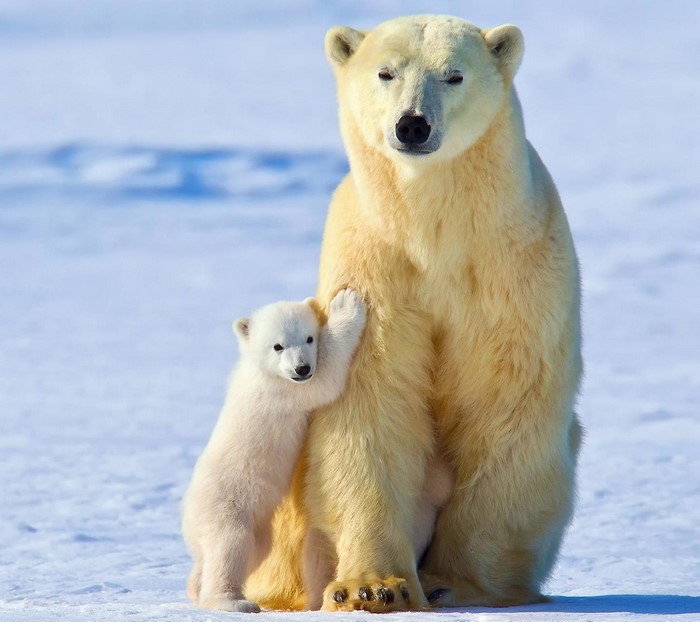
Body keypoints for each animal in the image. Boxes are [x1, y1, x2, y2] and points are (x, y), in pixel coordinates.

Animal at [181, 288, 367, 612]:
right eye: (278, 346)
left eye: (308, 338)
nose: (301, 368)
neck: (260, 371)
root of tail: (187, 518)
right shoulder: (283, 391)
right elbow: (325, 379)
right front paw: (345, 305)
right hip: (226, 505)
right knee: (229, 546)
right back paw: (234, 601)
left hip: (256, 527)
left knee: (246, 552)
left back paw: (196, 587)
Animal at [244, 14, 583, 612]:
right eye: (386, 72)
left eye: (454, 74)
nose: (413, 126)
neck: (435, 232)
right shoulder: (375, 266)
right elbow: (371, 404)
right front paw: (375, 586)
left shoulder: (513, 270)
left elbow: (506, 402)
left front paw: (456, 581)